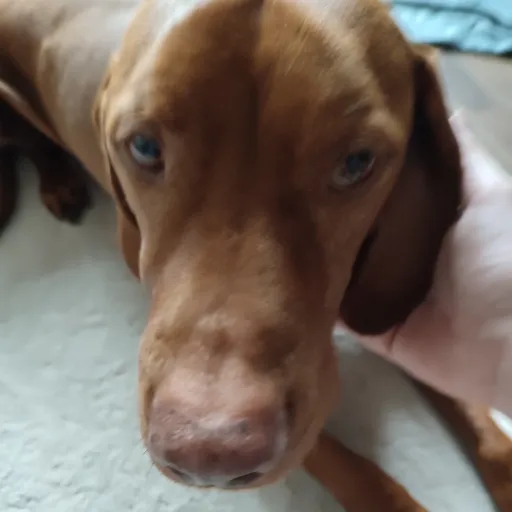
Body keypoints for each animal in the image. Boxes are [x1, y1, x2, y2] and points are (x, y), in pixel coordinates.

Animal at [1, 0, 511, 510]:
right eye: (144, 148)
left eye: (357, 162)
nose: (208, 454)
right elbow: (358, 474)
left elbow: (481, 423)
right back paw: (57, 181)